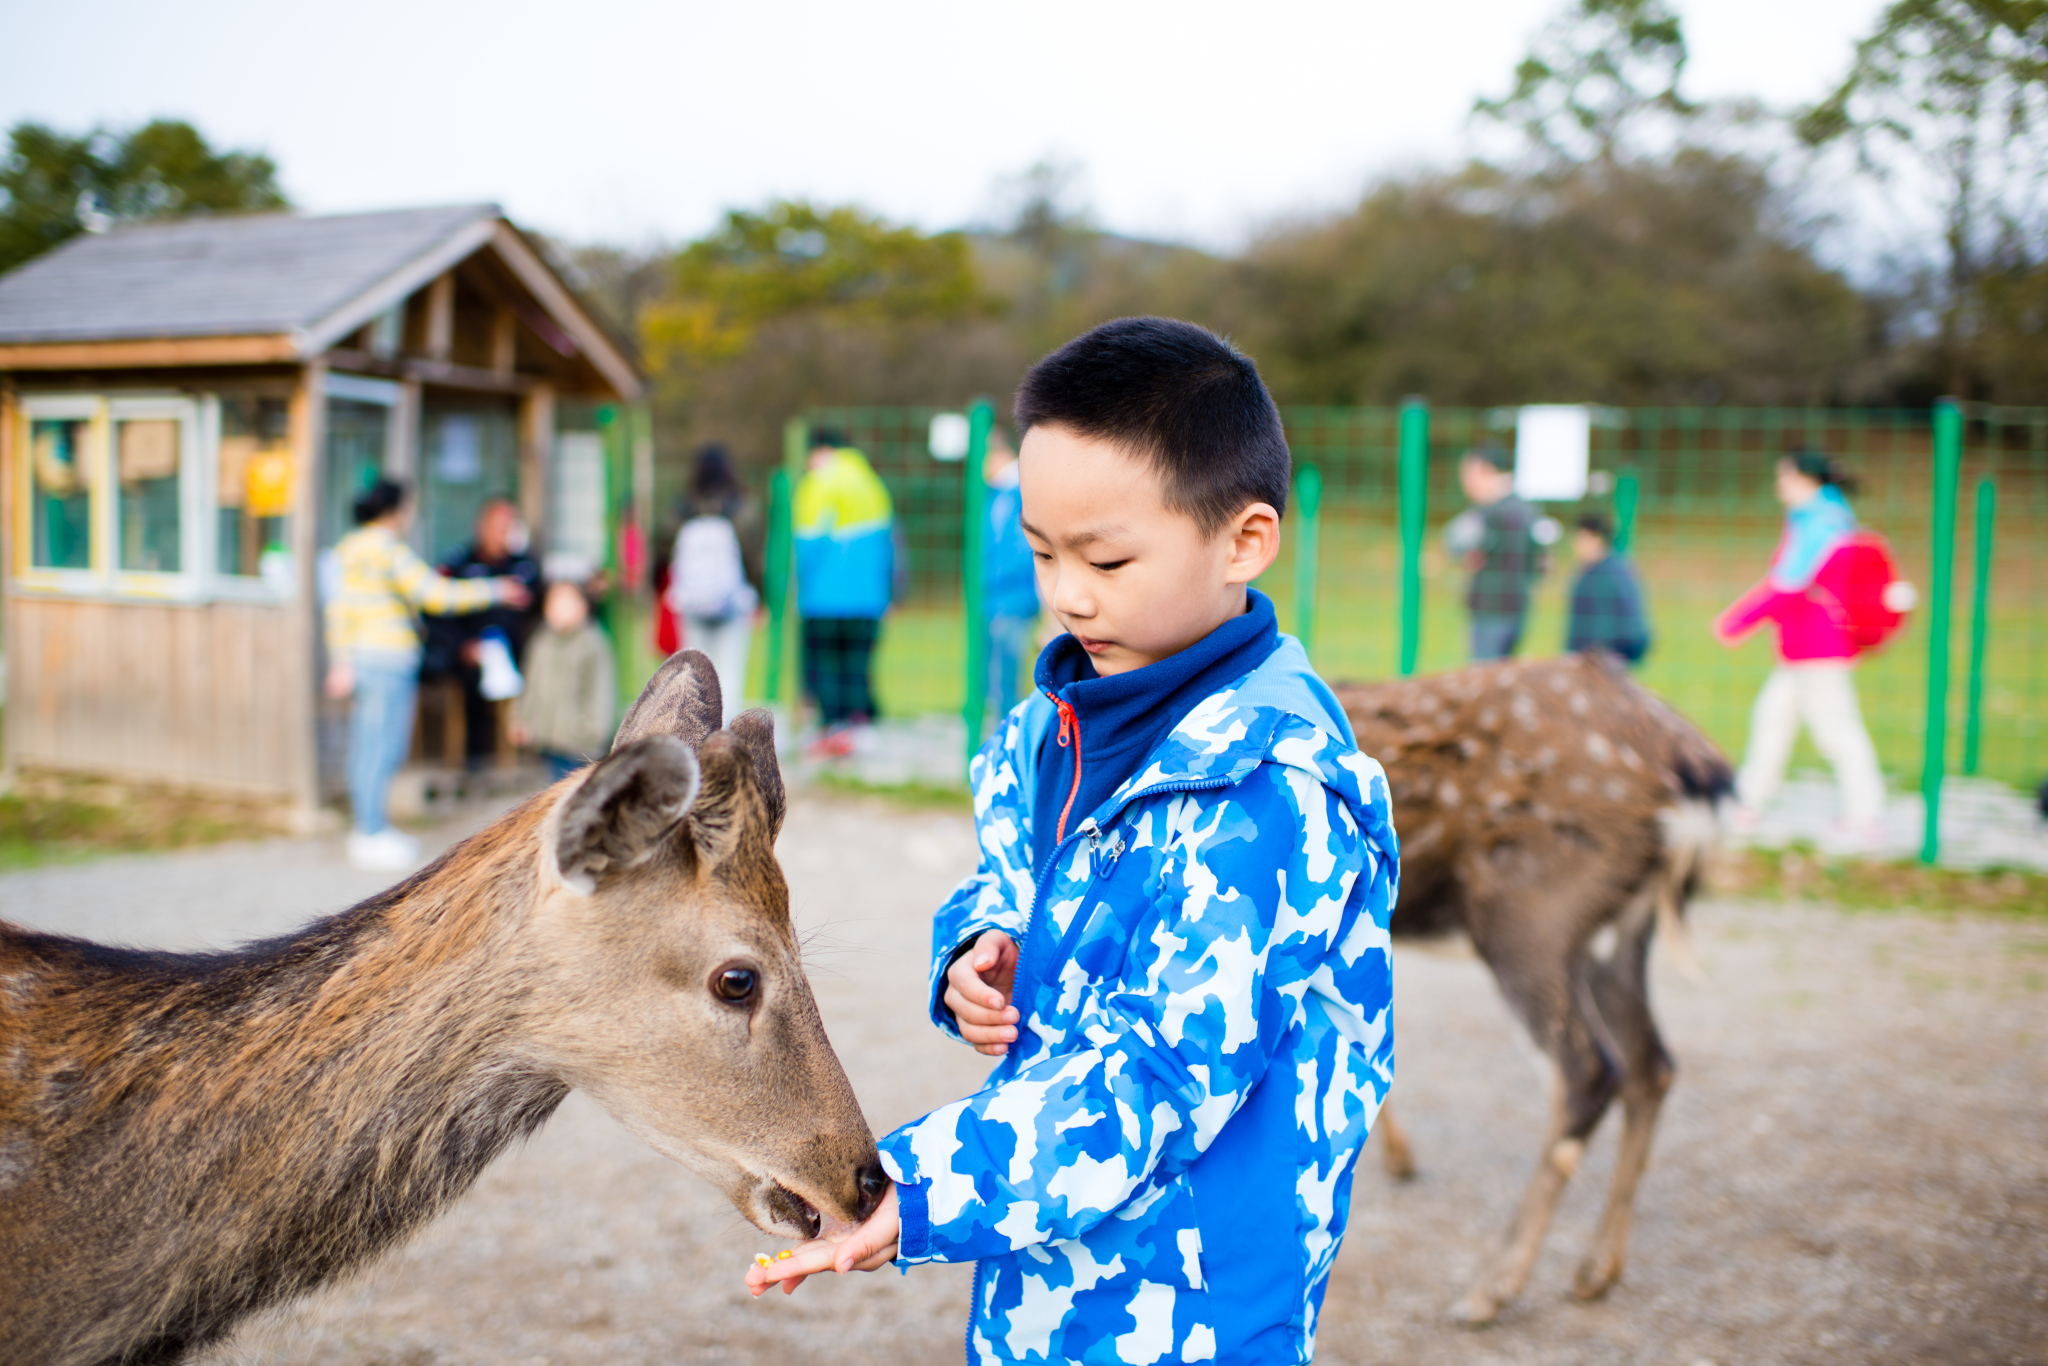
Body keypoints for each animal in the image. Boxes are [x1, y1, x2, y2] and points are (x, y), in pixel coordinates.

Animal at [1343, 651, 1728, 1327]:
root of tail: (1695, 770)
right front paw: (1396, 1157)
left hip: (1526, 911)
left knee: (1589, 1071)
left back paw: (1491, 1287)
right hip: (1618, 931)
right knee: (1651, 1063)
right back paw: (1596, 1271)